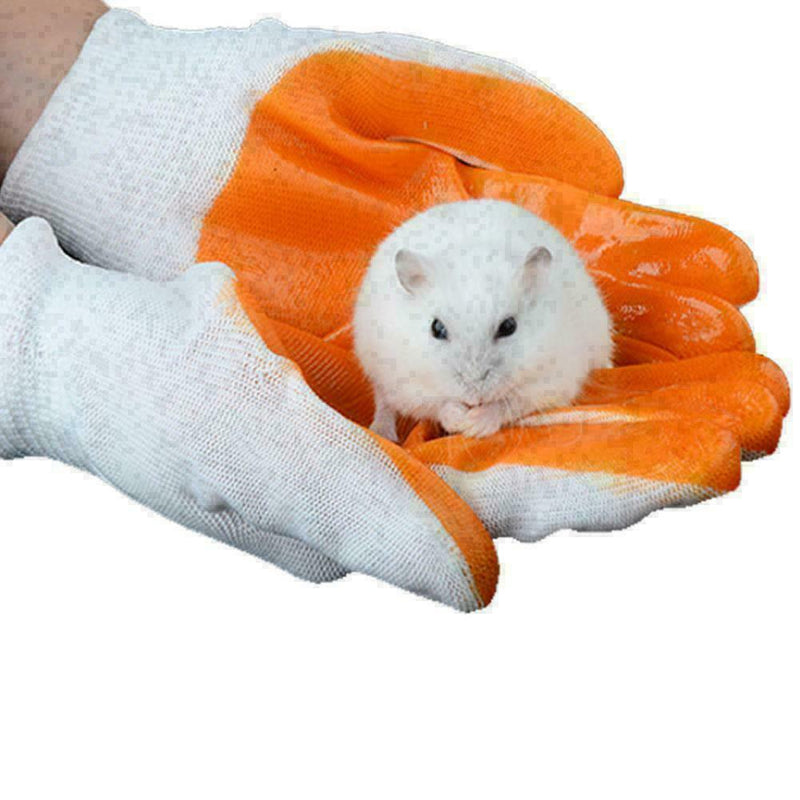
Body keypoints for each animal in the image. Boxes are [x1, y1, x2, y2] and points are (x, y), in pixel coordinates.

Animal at [353, 199, 613, 441]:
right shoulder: (406, 383)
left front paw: (475, 424)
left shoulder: (551, 381)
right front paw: (460, 419)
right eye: (436, 328)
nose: (474, 396)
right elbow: (439, 404)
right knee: (384, 403)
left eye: (509, 327)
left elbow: (508, 404)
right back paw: (382, 432)